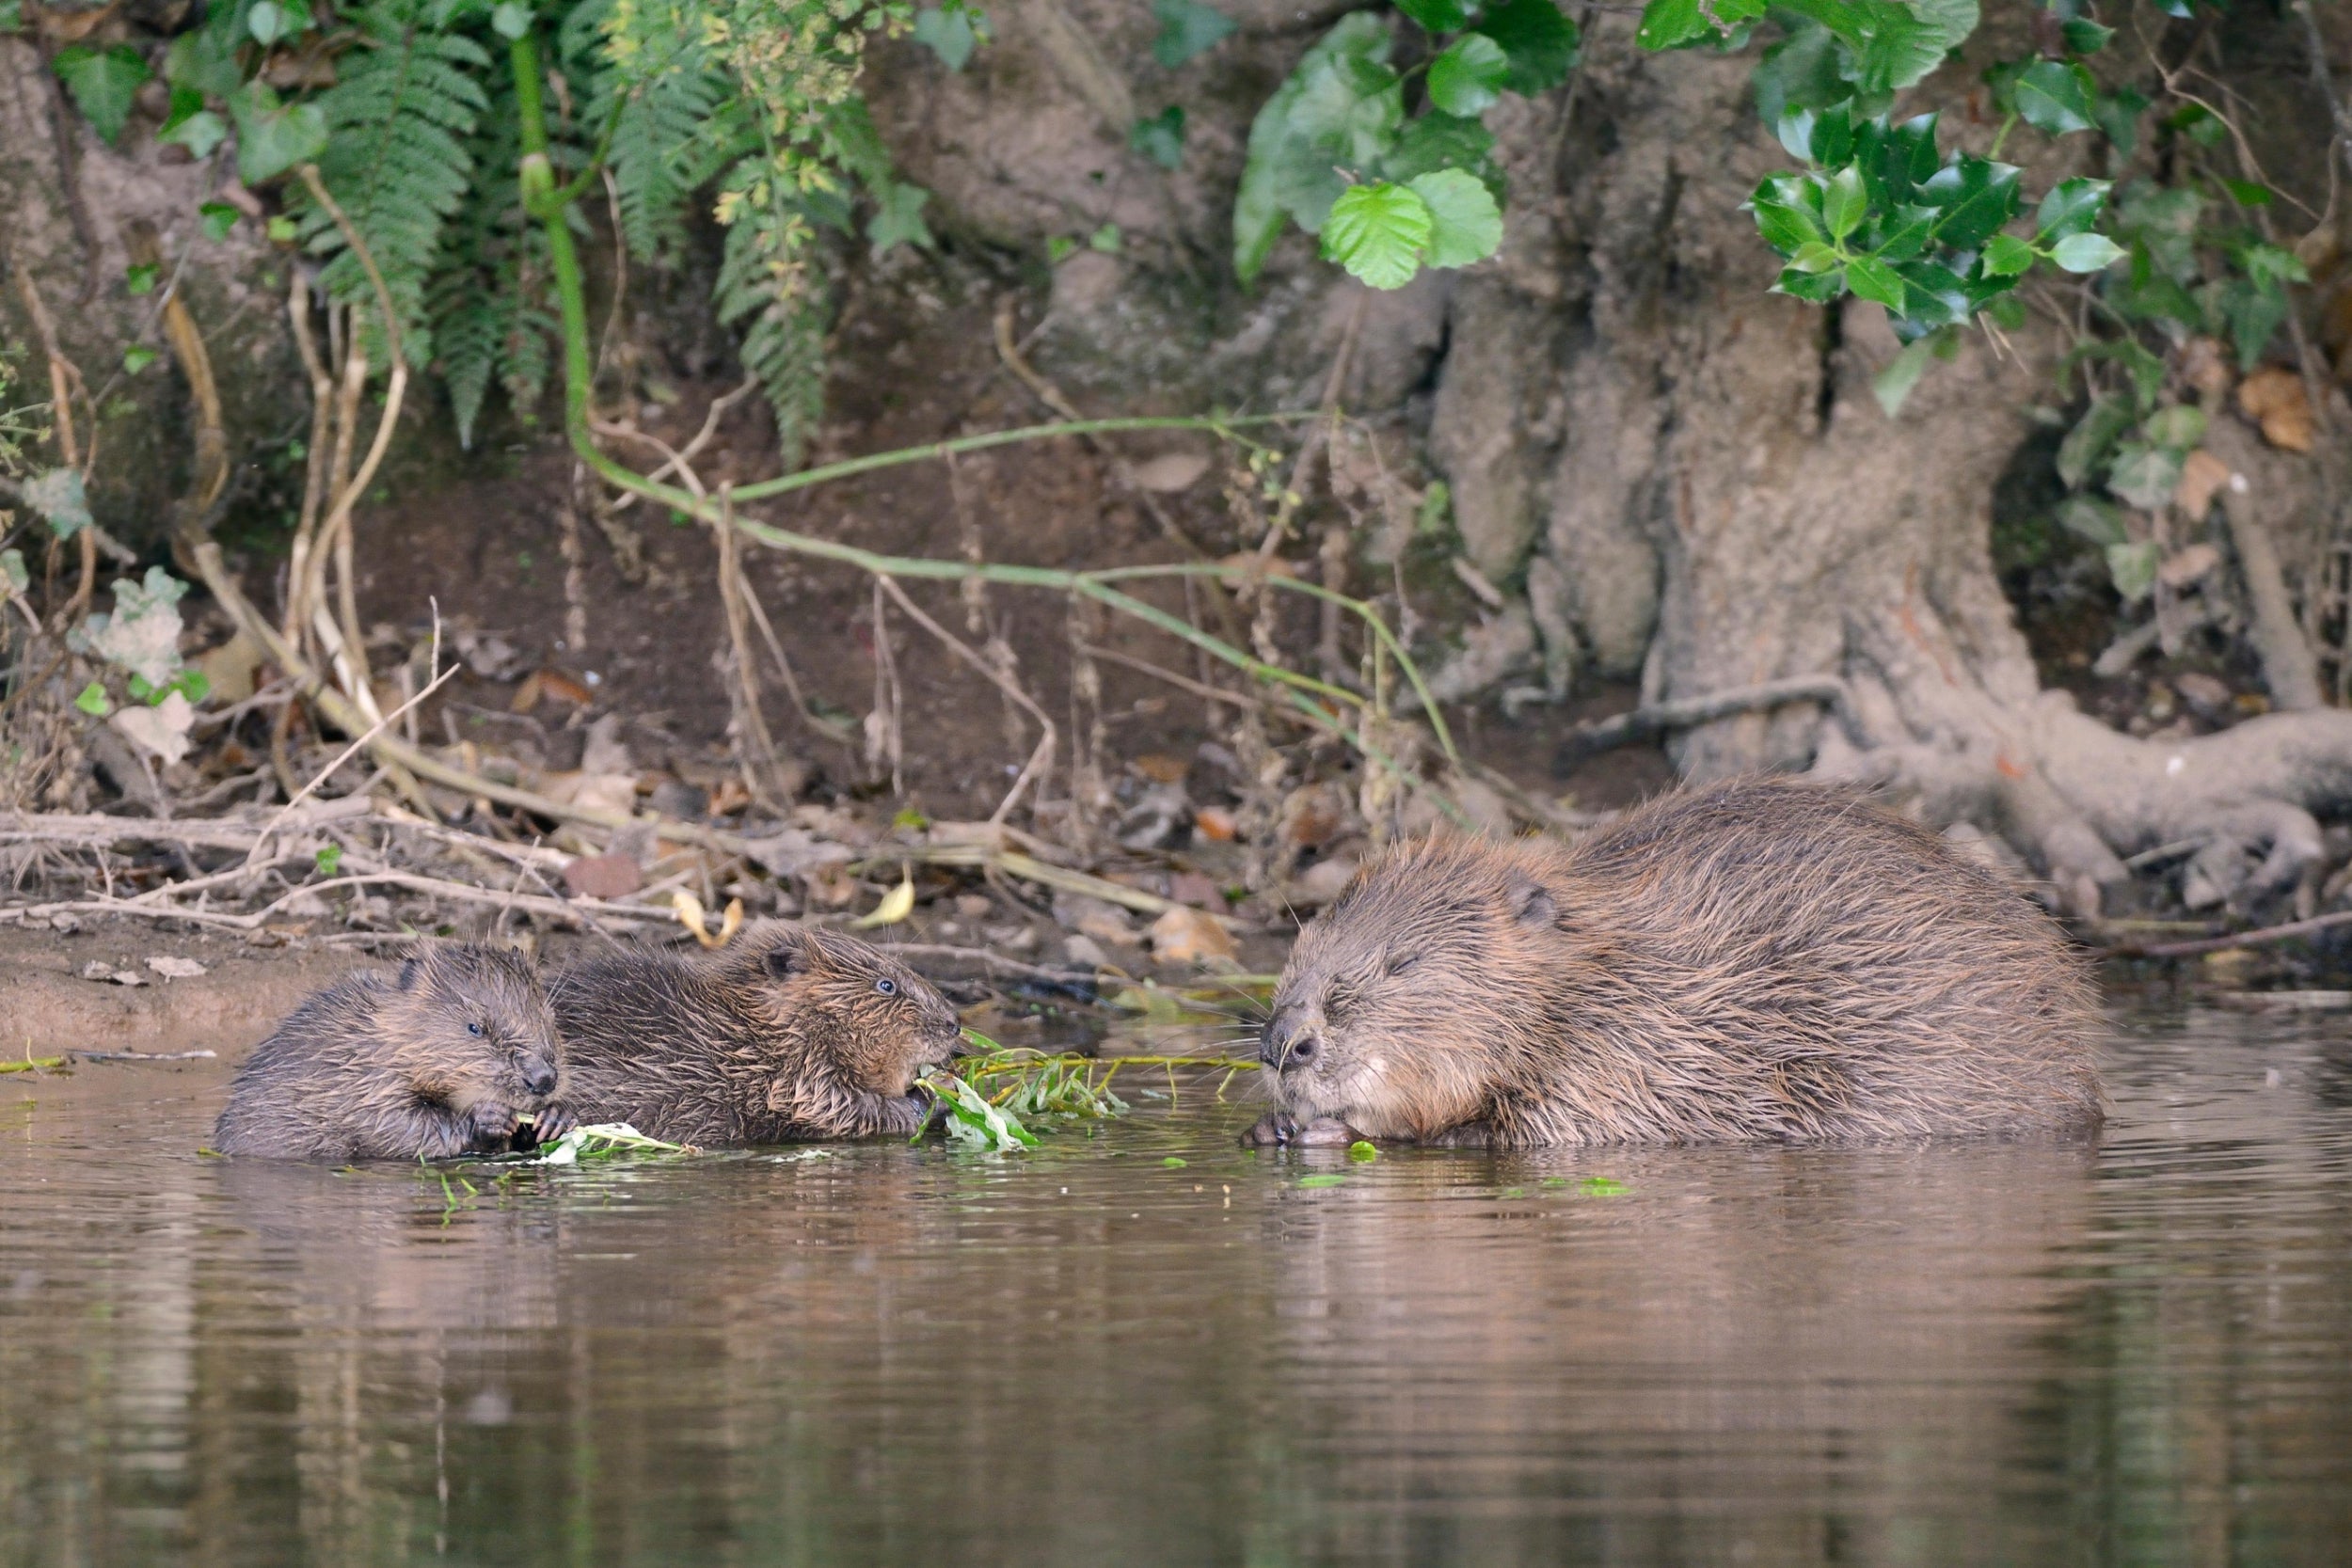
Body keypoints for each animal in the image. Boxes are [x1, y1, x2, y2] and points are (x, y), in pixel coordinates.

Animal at [215, 949, 574, 1161]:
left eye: (549, 1016)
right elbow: (391, 1125)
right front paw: (488, 1119)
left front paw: (556, 1118)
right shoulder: (359, 1081)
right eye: (475, 1027)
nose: (543, 1079)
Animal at [1242, 780, 2107, 1147]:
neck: (1601, 966)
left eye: (1404, 961)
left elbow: (1541, 1130)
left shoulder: (1632, 1050)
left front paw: (1319, 1131)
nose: (1286, 1042)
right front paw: (1271, 1125)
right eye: (1301, 948)